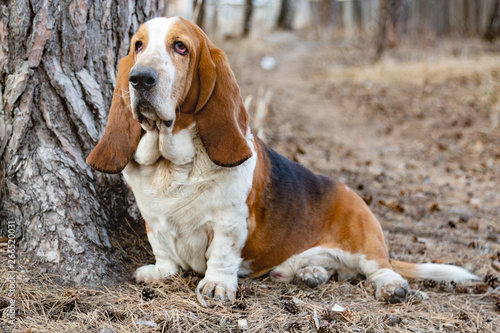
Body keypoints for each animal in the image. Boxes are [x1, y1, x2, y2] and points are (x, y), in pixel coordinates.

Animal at [86, 17, 476, 304]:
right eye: (138, 46)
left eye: (180, 47)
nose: (140, 78)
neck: (174, 165)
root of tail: (351, 192)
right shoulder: (154, 221)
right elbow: (164, 250)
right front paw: (159, 272)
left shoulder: (230, 222)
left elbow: (222, 255)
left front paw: (216, 286)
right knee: (331, 268)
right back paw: (310, 273)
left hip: (366, 243)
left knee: (380, 268)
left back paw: (390, 287)